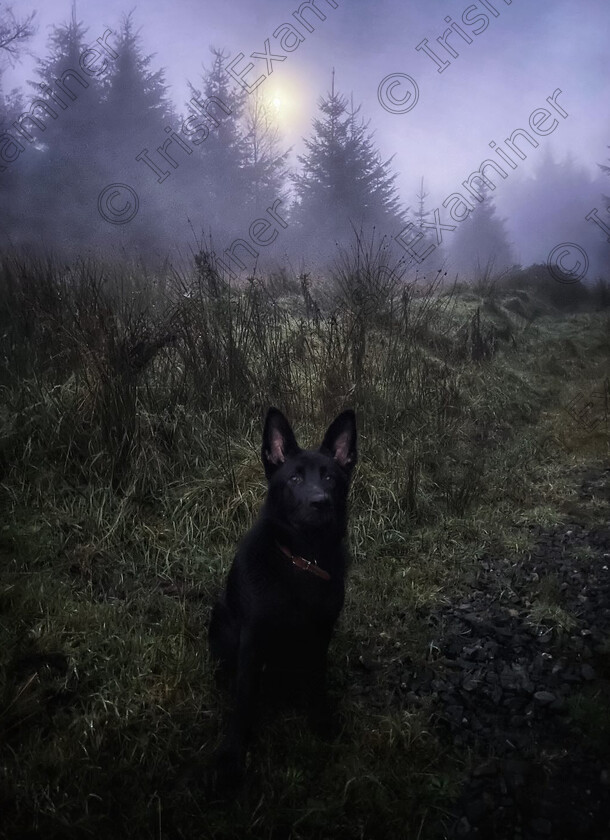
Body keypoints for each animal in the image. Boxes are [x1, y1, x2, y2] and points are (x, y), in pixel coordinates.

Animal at [208, 406, 356, 788]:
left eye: (330, 478)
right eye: (294, 479)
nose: (321, 503)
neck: (303, 560)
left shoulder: (321, 634)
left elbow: (317, 683)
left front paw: (321, 723)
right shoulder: (252, 637)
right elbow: (244, 697)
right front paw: (232, 754)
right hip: (221, 619)